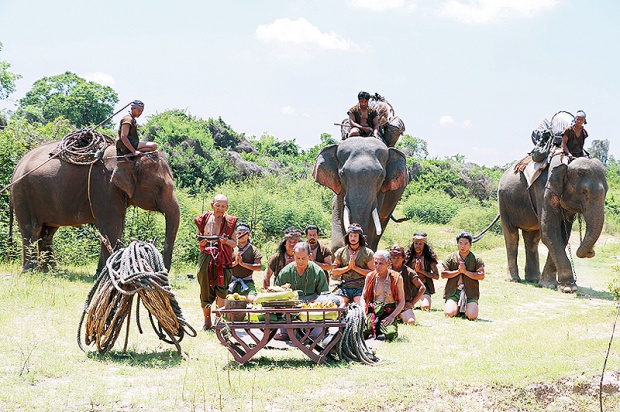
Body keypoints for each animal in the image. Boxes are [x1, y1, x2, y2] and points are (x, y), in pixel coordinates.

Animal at [9, 142, 179, 274]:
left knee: (47, 231)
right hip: (23, 194)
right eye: (159, 186)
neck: (127, 158)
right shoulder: (104, 185)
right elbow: (112, 227)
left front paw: (101, 271)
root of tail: (18, 163)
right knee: (31, 229)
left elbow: (115, 227)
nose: (163, 270)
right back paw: (31, 271)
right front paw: (109, 271)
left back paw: (52, 270)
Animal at [496, 156, 608, 292]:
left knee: (532, 239)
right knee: (512, 236)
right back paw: (513, 279)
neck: (567, 163)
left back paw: (533, 279)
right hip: (504, 202)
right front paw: (568, 288)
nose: (591, 252)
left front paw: (547, 285)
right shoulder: (545, 193)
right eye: (584, 192)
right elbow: (549, 232)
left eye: (607, 191)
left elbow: (562, 236)